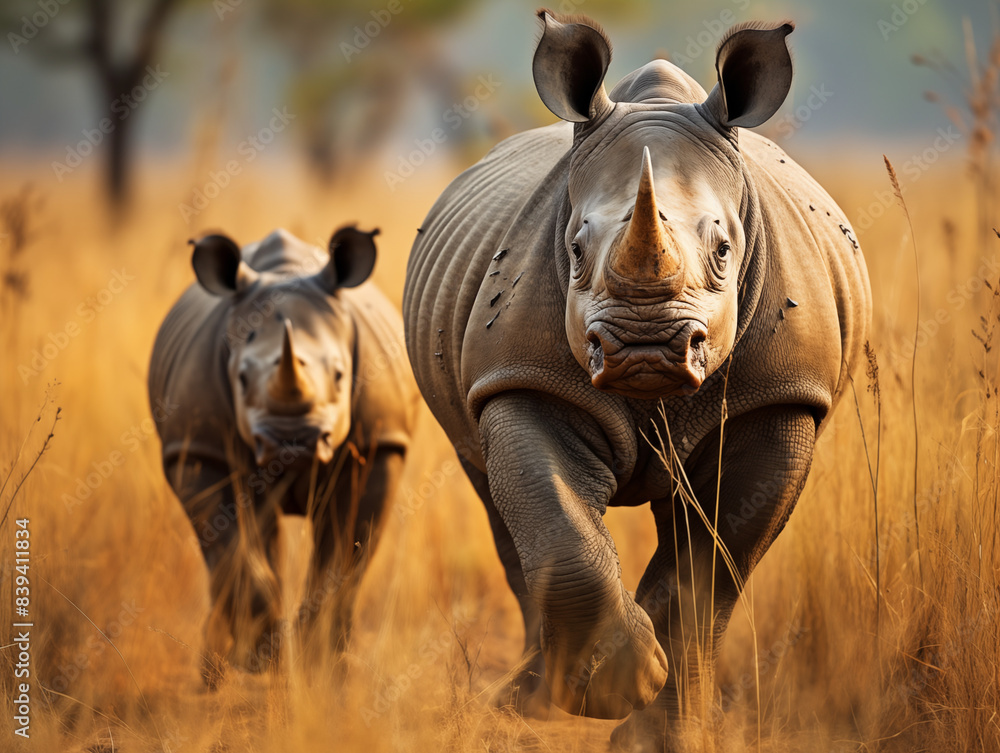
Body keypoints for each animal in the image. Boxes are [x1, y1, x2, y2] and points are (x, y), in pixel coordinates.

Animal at [150, 225, 418, 678]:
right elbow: (231, 548)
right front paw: (263, 663)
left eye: (340, 375)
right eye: (241, 378)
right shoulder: (199, 449)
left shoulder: (378, 444)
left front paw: (324, 665)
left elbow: (343, 559)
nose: (292, 441)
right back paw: (216, 672)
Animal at [403, 11, 870, 750]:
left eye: (725, 250)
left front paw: (659, 729)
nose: (644, 347)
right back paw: (526, 705)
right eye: (573, 249)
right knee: (498, 506)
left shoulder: (780, 398)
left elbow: (711, 567)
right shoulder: (521, 376)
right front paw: (619, 683)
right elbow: (554, 519)